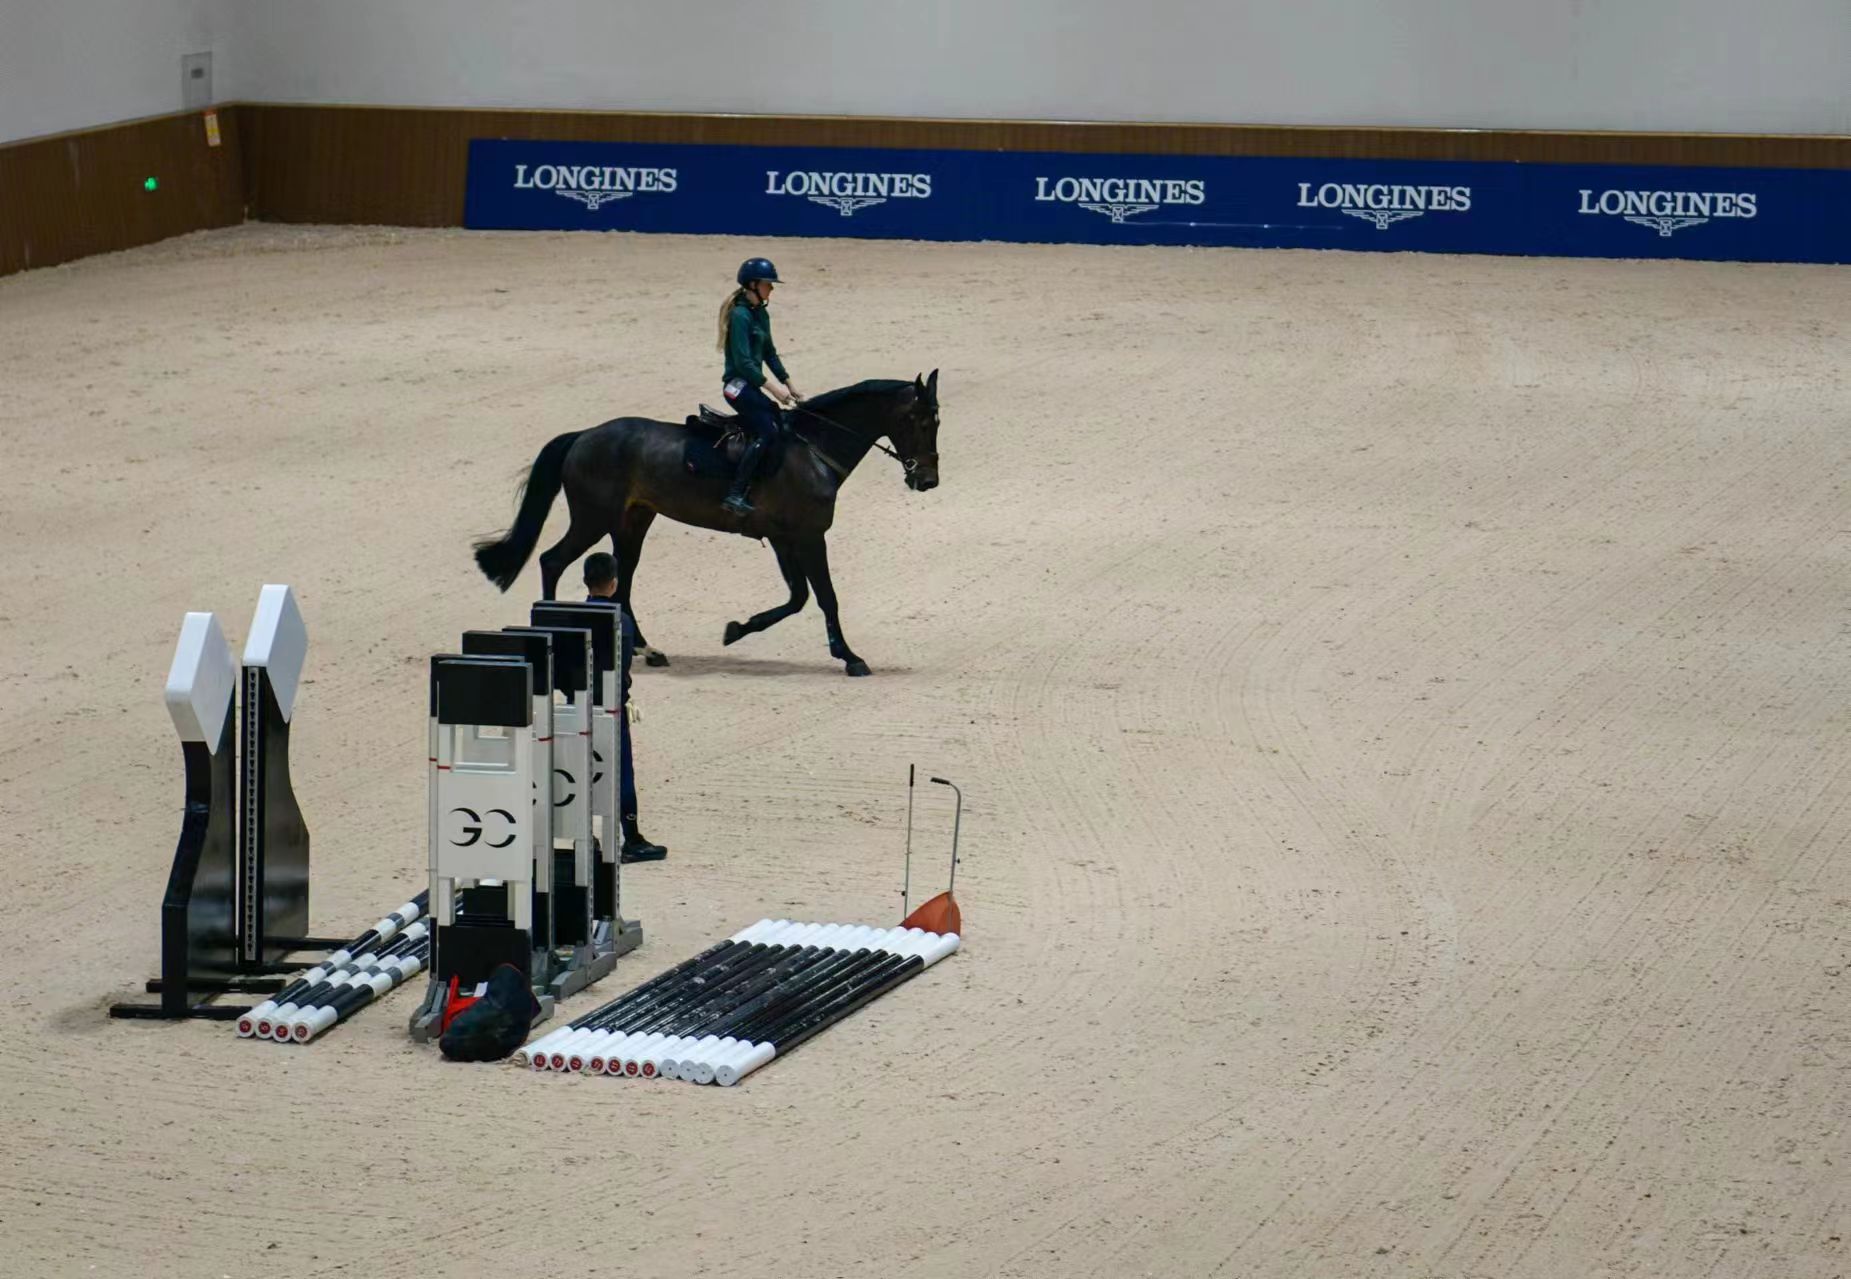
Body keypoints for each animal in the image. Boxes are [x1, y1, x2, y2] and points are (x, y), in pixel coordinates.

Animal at [472, 372, 942, 677]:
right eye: (920, 421)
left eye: (936, 422)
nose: (927, 480)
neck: (814, 450)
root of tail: (584, 435)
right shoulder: (809, 537)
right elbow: (825, 597)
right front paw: (850, 657)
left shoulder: (784, 539)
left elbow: (797, 598)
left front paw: (737, 630)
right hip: (593, 518)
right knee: (553, 561)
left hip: (631, 522)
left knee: (622, 581)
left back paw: (646, 649)